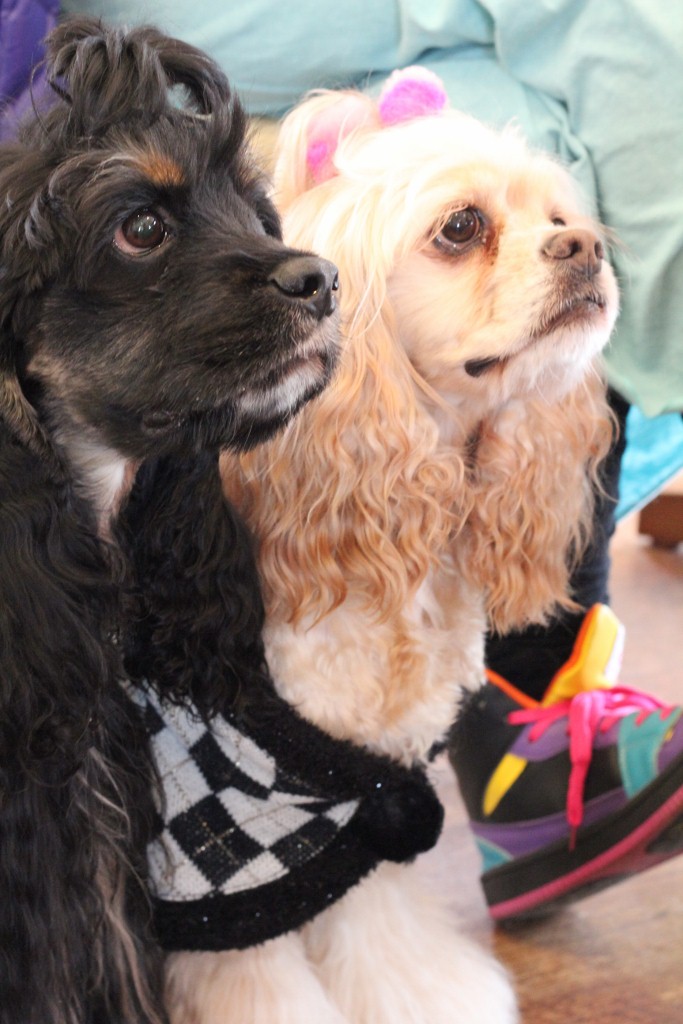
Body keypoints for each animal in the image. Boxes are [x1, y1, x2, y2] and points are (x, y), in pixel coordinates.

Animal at [172, 69, 619, 1024]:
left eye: (558, 214)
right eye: (461, 227)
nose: (588, 247)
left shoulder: (359, 788)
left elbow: (366, 917)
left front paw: (420, 995)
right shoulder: (215, 819)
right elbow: (249, 960)